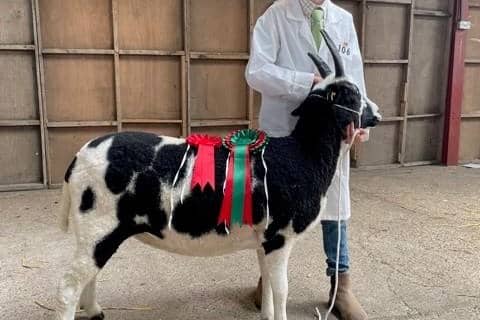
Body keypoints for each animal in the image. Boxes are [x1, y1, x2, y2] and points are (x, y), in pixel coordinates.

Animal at [54, 31, 380, 320]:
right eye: (353, 94)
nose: (377, 114)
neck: (303, 153)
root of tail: (78, 159)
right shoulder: (279, 237)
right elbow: (281, 291)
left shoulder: (263, 239)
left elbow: (268, 288)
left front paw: (266, 315)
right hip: (98, 224)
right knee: (68, 287)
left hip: (96, 231)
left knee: (89, 276)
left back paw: (95, 311)